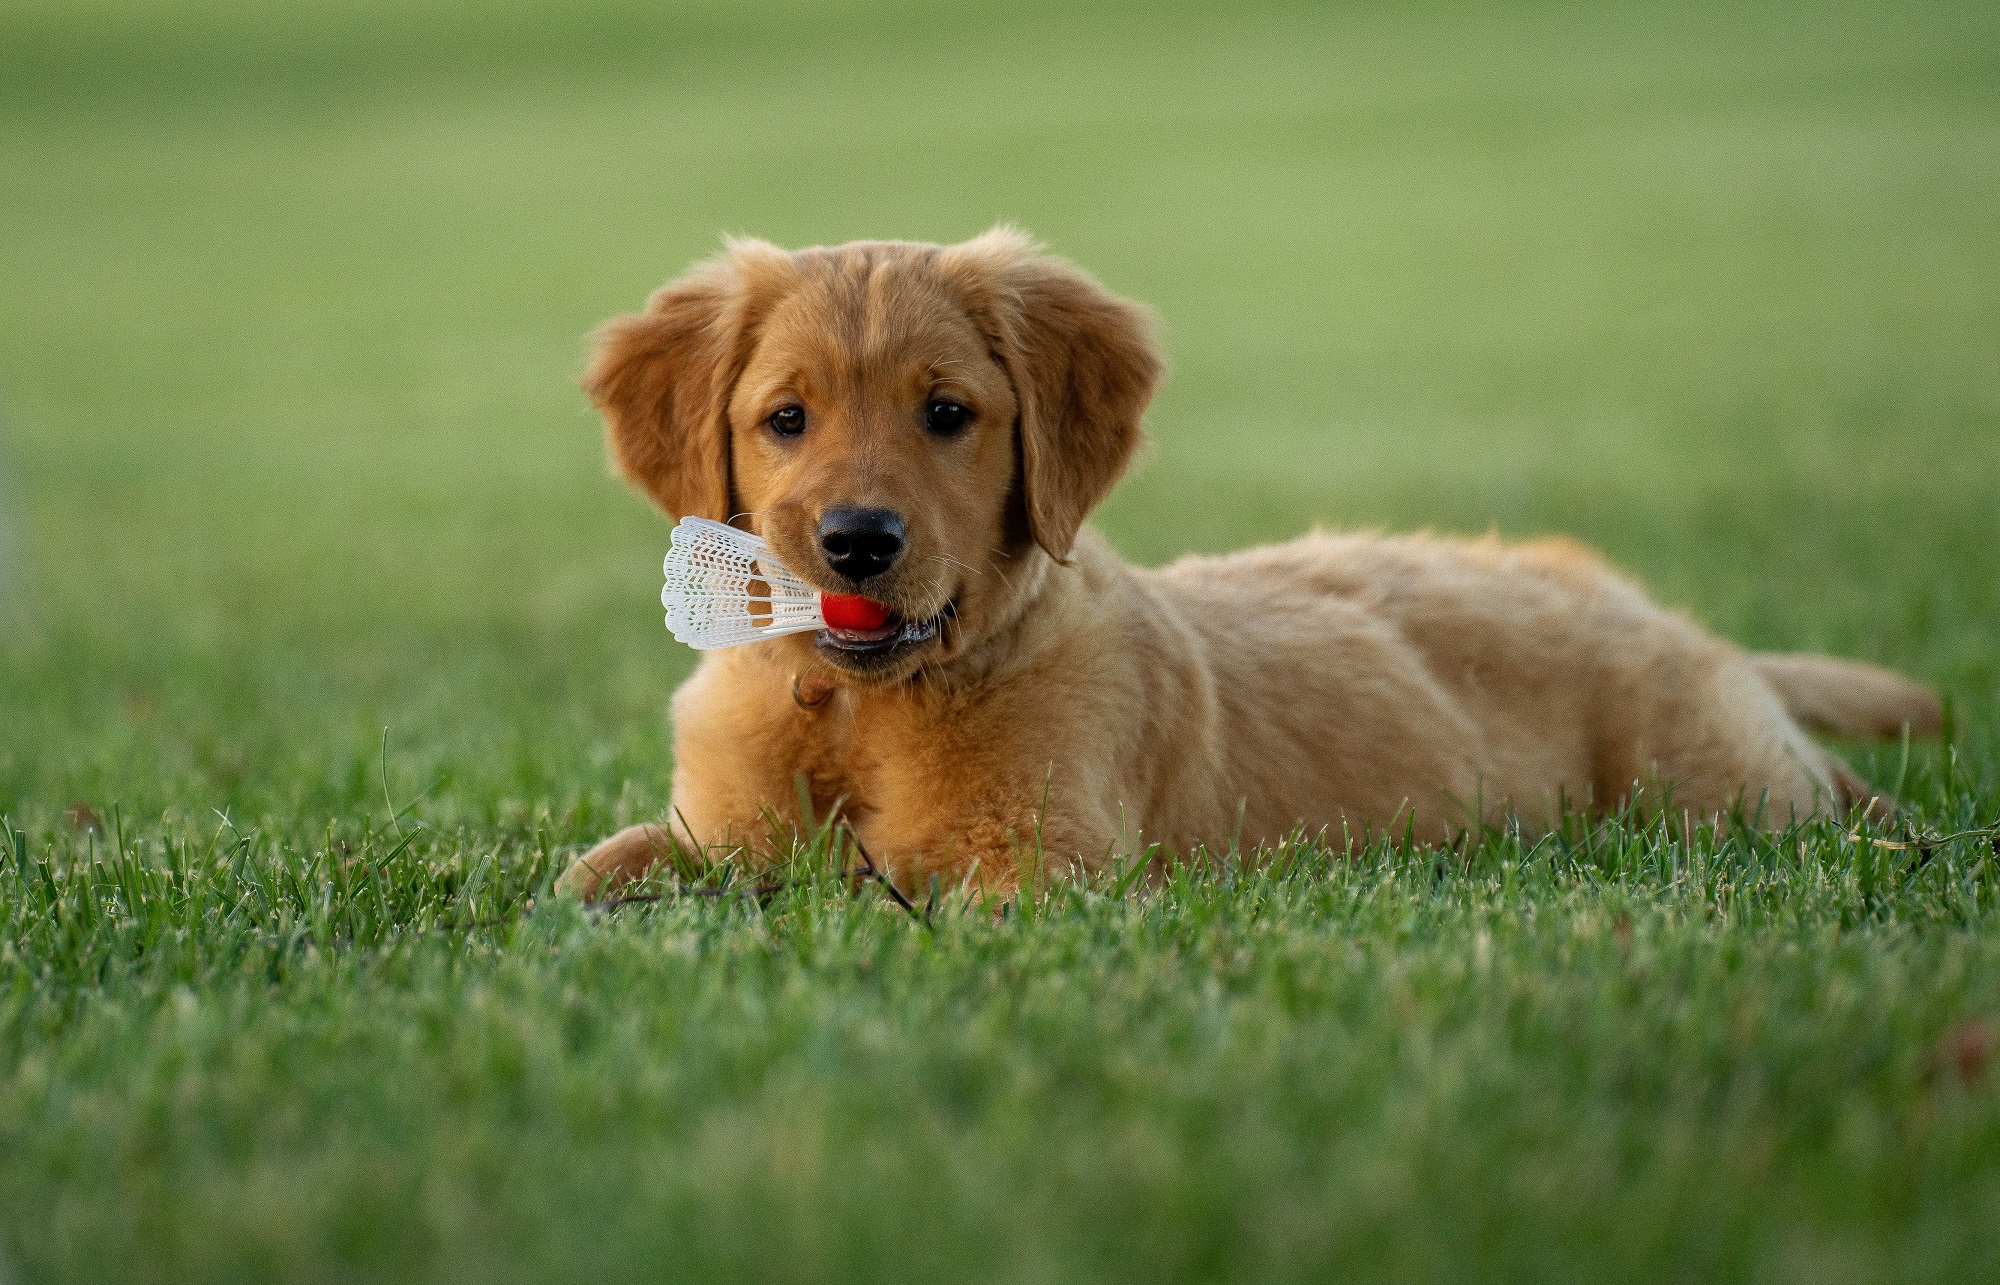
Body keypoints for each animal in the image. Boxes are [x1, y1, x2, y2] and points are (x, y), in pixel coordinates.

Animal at [556, 225, 1944, 896]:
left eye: (946, 413)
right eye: (784, 418)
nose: (856, 538)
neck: (855, 706)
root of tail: (1663, 613)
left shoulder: (1039, 872)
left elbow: (876, 899)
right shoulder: (716, 826)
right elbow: (600, 871)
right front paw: (597, 896)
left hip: (1708, 783)